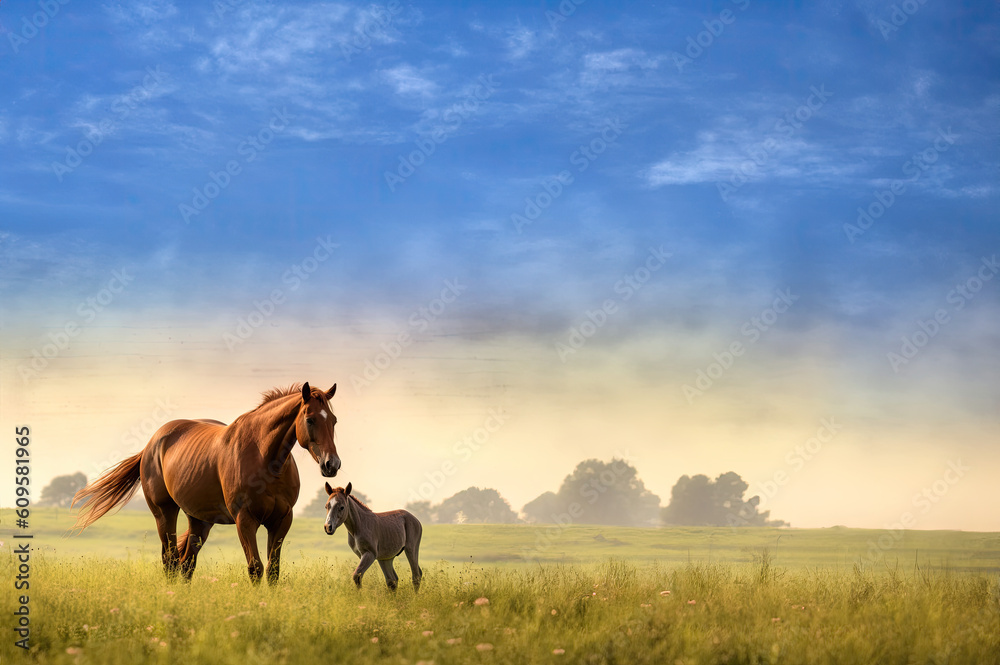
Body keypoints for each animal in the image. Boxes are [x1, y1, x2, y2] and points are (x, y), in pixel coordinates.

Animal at [72, 382, 340, 585]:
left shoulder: (281, 520)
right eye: (310, 419)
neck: (265, 458)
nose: (332, 464)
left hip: (199, 520)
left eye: (334, 420)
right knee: (170, 561)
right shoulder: (245, 519)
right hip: (164, 513)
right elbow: (255, 568)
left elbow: (273, 571)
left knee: (186, 565)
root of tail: (152, 443)